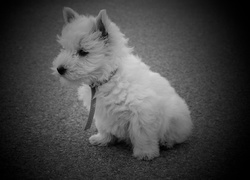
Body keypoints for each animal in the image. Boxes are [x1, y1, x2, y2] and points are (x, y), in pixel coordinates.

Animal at [52, 8, 193, 160]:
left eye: (83, 52)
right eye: (64, 48)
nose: (59, 69)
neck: (108, 77)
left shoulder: (142, 112)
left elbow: (142, 135)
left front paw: (145, 153)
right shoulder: (101, 112)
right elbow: (104, 127)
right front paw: (103, 139)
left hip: (176, 118)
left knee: (176, 136)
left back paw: (167, 142)